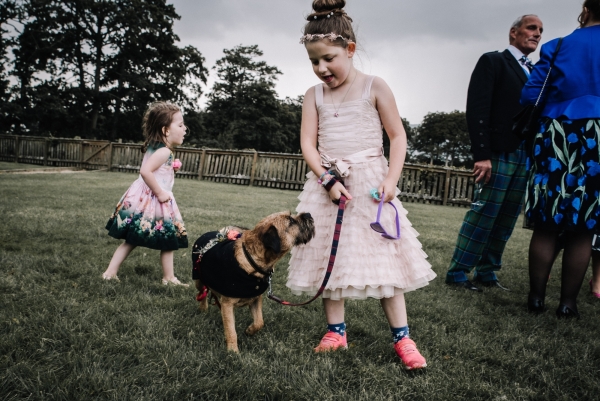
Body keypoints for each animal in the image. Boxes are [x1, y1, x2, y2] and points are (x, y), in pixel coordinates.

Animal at [192, 211, 314, 352]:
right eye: (291, 221)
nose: (308, 214)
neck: (252, 261)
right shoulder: (227, 304)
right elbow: (231, 330)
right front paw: (233, 351)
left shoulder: (256, 299)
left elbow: (259, 322)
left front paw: (250, 330)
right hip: (198, 279)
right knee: (202, 292)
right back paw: (203, 308)